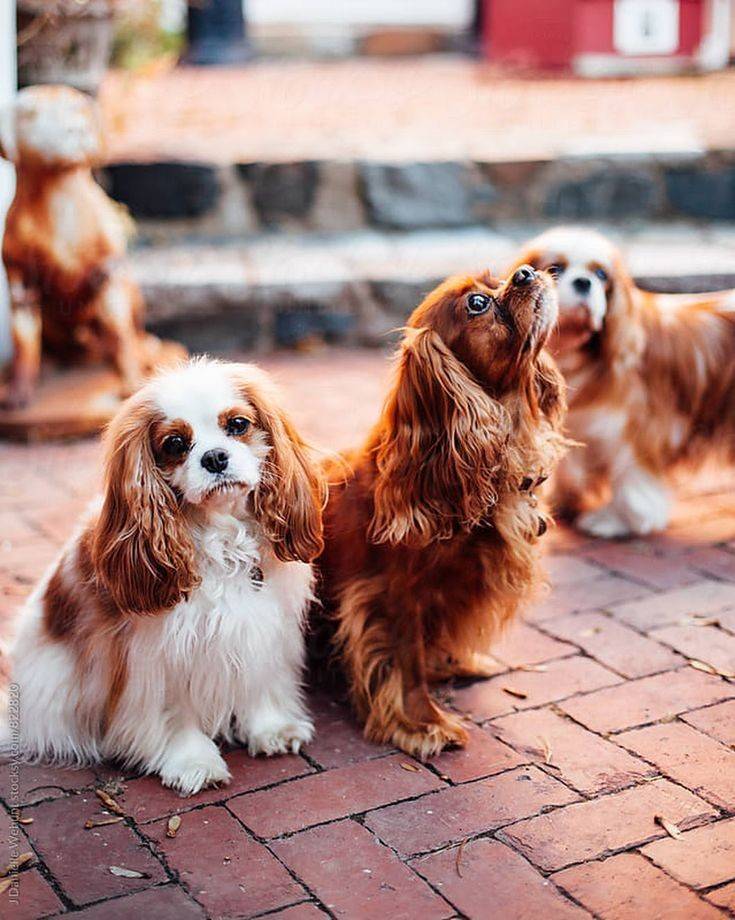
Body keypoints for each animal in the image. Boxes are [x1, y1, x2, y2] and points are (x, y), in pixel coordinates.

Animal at [0, 83, 162, 406]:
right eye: (30, 114)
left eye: (79, 109)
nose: (76, 129)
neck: (58, 201)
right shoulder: (20, 281)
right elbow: (23, 341)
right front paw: (18, 389)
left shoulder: (108, 274)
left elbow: (119, 333)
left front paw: (131, 379)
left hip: (131, 289)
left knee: (128, 334)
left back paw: (144, 350)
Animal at [3, 362, 324, 796]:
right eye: (174, 444)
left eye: (238, 424)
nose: (215, 457)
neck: (222, 539)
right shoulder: (160, 655)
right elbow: (176, 711)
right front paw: (193, 761)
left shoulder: (263, 627)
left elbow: (260, 678)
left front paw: (271, 728)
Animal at [516, 225, 735, 540]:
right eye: (554, 269)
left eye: (601, 275)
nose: (583, 282)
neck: (576, 354)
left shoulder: (637, 428)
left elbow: (631, 478)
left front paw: (617, 521)